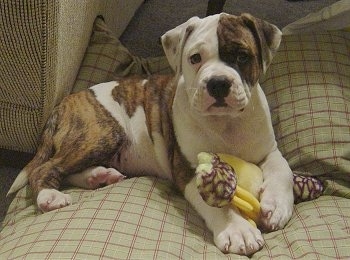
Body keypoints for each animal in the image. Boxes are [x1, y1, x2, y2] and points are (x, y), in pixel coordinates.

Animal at [8, 13, 294, 255]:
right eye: (195, 58)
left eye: (243, 56)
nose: (218, 83)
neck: (226, 123)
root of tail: (64, 103)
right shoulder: (189, 169)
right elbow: (217, 202)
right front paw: (237, 230)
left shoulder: (269, 151)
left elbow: (284, 171)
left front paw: (277, 206)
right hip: (101, 132)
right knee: (46, 168)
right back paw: (50, 196)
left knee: (65, 168)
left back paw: (97, 177)